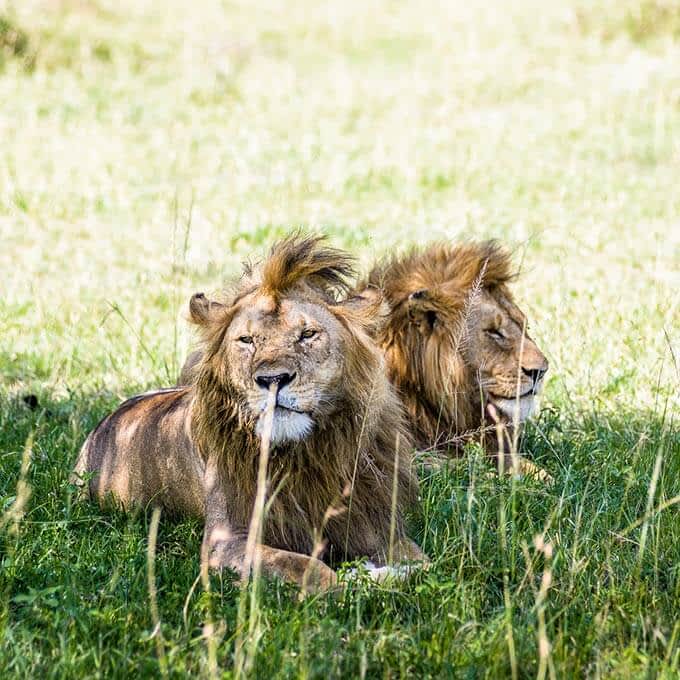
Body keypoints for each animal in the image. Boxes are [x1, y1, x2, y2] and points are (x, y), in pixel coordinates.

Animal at [73, 236, 424, 592]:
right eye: (247, 340)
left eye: (307, 335)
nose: (273, 380)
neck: (303, 454)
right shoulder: (225, 541)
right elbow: (309, 568)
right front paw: (353, 581)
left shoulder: (375, 525)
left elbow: (421, 561)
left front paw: (393, 573)